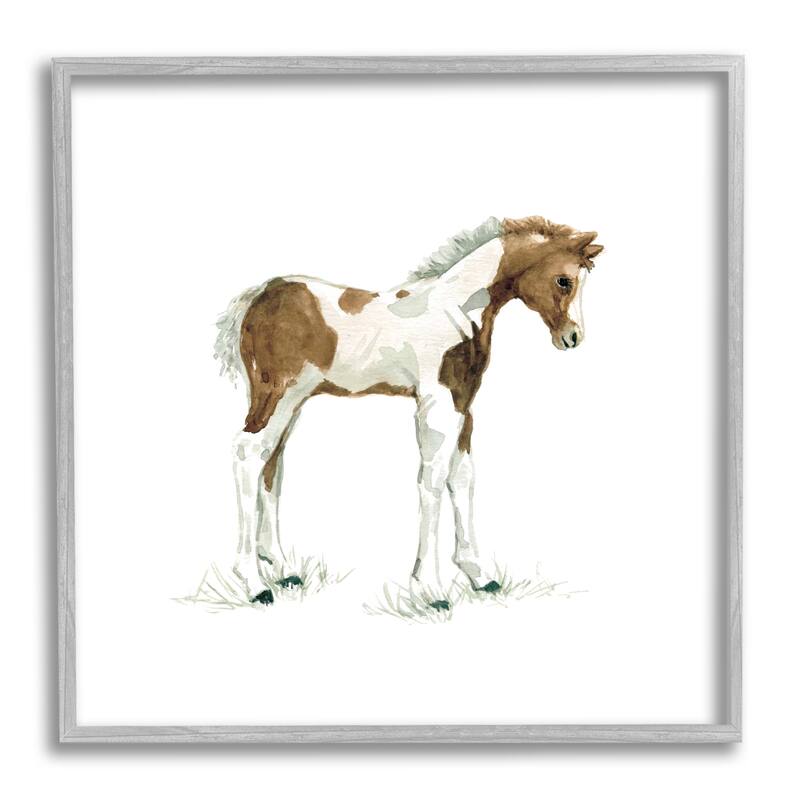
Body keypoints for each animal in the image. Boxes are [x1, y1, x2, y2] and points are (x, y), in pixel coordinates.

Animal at [214, 215, 603, 607]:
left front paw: (480, 576)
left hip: (293, 402)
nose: (573, 337)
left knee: (272, 463)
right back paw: (254, 583)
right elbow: (432, 480)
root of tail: (257, 296)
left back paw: (282, 570)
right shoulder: (436, 404)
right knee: (248, 453)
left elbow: (462, 478)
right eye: (564, 280)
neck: (456, 309)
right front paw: (430, 588)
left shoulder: (463, 404)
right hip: (277, 395)